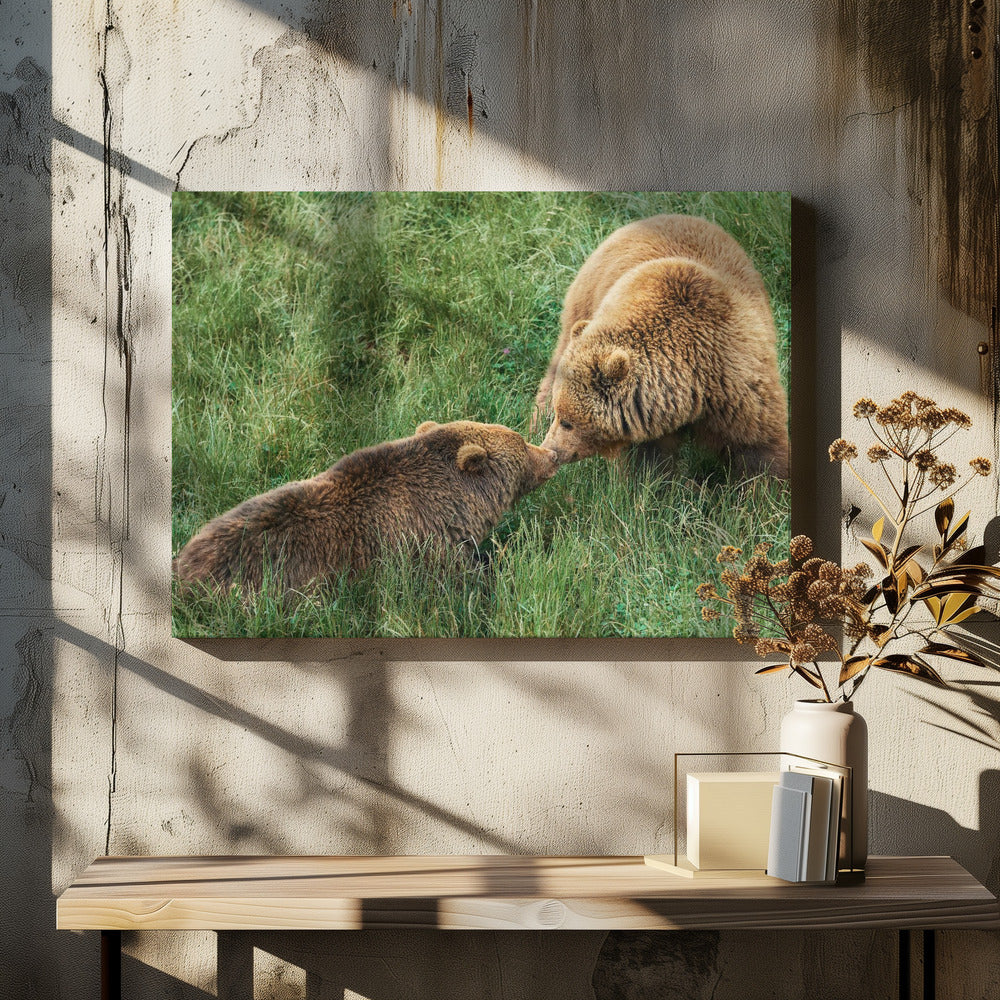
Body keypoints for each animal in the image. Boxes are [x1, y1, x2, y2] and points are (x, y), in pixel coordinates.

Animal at [532, 213, 790, 478]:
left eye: (568, 422)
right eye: (561, 415)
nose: (552, 449)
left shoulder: (733, 381)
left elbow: (757, 445)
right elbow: (647, 463)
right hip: (584, 303)